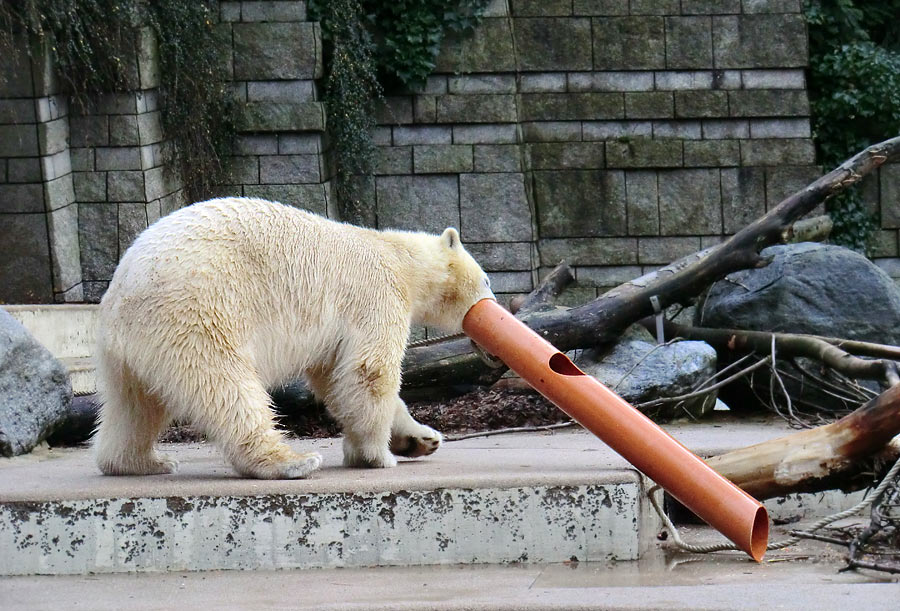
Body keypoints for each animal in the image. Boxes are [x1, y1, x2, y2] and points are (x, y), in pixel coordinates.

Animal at [93, 198, 492, 480]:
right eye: (486, 279)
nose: (493, 303)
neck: (398, 255)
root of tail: (122, 288)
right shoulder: (377, 293)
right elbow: (369, 372)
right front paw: (376, 455)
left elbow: (335, 377)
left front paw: (422, 438)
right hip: (197, 312)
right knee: (225, 386)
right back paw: (290, 462)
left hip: (134, 346)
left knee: (134, 404)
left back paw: (140, 462)